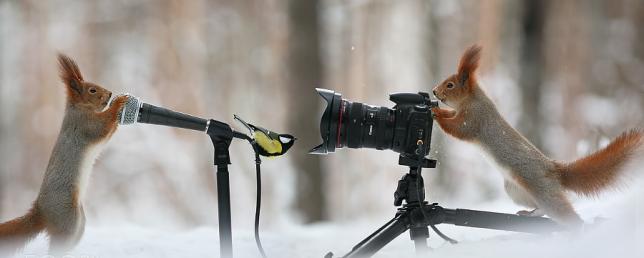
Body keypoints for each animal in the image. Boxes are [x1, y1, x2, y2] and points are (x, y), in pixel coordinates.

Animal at [0, 53, 128, 253]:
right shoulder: (84, 124)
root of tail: (41, 212)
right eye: (92, 90)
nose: (109, 94)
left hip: (79, 222)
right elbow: (102, 127)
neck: (80, 107)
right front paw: (119, 102)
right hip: (68, 218)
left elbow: (108, 132)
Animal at [430, 44, 640, 228]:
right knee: (542, 210)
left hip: (541, 187)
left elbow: (458, 129)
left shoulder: (474, 119)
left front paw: (436, 112)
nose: (433, 91)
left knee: (562, 212)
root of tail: (555, 171)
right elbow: (452, 117)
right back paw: (529, 214)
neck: (472, 99)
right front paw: (439, 110)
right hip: (515, 191)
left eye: (450, 85)